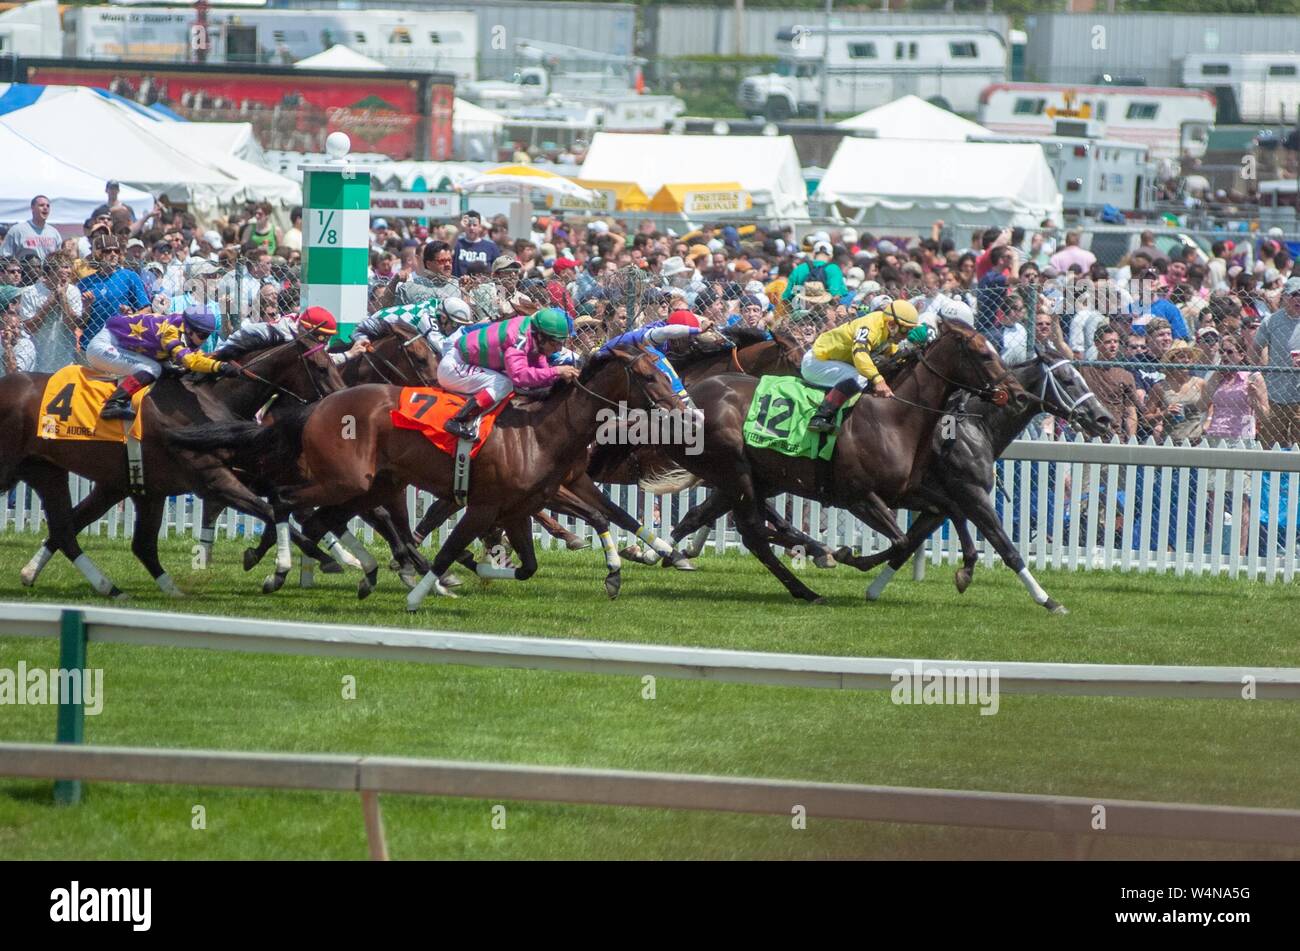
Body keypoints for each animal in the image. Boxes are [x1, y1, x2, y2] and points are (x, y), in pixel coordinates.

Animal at [7, 335, 343, 595]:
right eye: (322, 367)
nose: (340, 400)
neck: (208, 400)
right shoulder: (212, 479)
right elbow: (271, 509)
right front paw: (314, 561)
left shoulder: (137, 485)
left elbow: (278, 503)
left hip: (74, 477)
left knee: (71, 527)